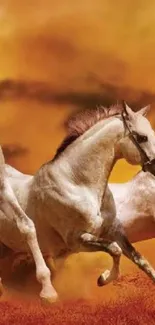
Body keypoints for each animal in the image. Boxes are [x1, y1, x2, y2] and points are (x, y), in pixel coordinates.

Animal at [0, 102, 155, 300]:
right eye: (142, 137)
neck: (77, 184)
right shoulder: (77, 240)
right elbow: (114, 249)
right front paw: (103, 278)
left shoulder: (114, 231)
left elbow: (140, 260)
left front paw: (104, 278)